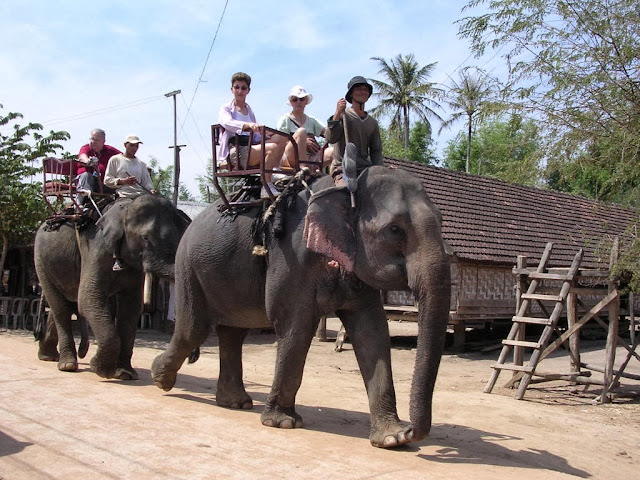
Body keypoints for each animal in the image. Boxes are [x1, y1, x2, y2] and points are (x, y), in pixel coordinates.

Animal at [34, 194, 189, 378]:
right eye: (145, 238)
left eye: (175, 240)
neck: (125, 208)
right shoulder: (96, 248)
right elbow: (89, 298)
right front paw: (101, 370)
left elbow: (131, 307)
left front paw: (125, 374)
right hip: (40, 260)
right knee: (60, 307)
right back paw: (67, 365)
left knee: (64, 303)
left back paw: (48, 356)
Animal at [151, 167, 450, 448]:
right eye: (395, 229)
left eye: (441, 221)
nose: (412, 431)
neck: (345, 188)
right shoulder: (291, 257)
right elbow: (295, 325)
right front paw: (282, 423)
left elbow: (372, 331)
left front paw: (392, 439)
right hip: (188, 265)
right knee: (194, 329)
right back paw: (161, 379)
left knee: (232, 332)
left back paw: (235, 402)